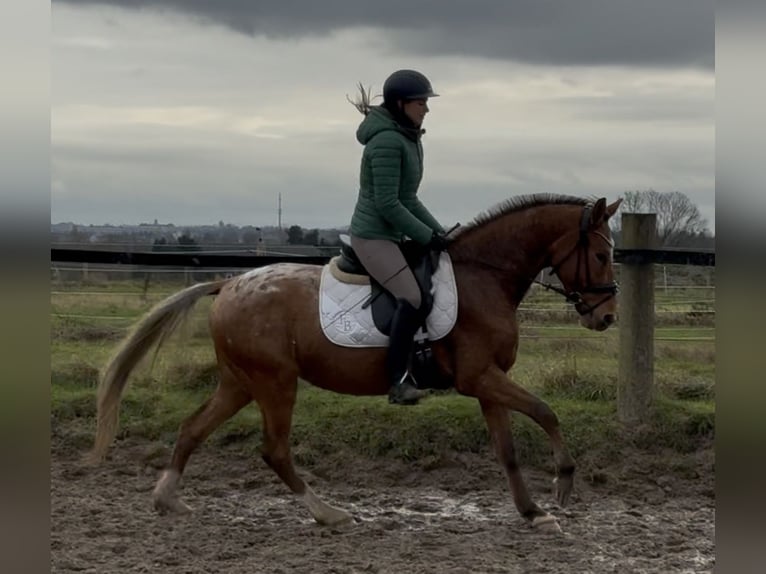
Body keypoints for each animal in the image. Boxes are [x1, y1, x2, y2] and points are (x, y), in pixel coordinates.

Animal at [89, 194, 622, 532]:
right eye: (600, 254)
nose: (607, 317)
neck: (484, 278)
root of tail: (230, 284)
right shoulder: (480, 377)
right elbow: (545, 411)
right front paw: (564, 482)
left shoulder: (489, 382)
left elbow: (507, 449)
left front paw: (533, 512)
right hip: (275, 383)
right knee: (274, 451)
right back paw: (329, 514)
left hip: (240, 382)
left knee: (193, 429)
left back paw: (167, 499)